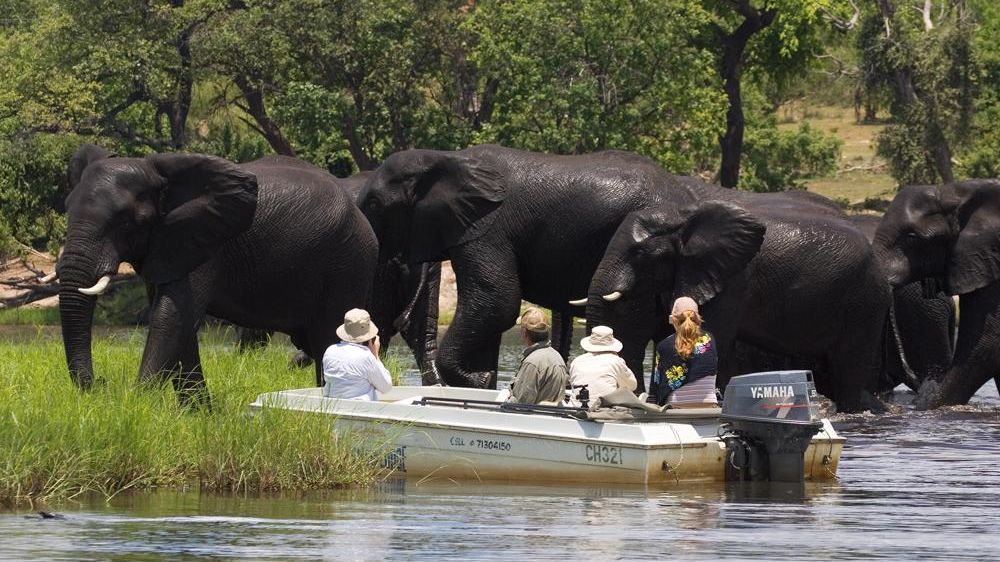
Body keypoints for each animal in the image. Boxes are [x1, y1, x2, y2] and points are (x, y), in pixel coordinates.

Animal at [59, 144, 378, 398]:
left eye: (126, 221)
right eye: (68, 209)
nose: (100, 383)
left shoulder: (206, 244)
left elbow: (171, 317)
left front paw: (136, 403)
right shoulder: (168, 245)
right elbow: (178, 323)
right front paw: (198, 417)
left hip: (348, 260)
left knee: (326, 337)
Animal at [362, 142, 892, 410]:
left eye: (374, 205)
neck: (446, 157)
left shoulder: (487, 227)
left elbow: (497, 300)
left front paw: (471, 382)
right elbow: (494, 306)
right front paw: (479, 381)